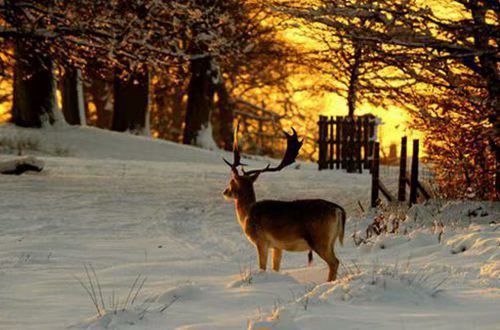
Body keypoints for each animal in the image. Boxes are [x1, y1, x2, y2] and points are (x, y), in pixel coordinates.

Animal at [224, 124, 346, 282]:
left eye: (232, 182)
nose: (225, 192)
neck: (247, 214)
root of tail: (338, 210)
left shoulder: (261, 240)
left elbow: (262, 266)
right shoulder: (277, 246)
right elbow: (276, 267)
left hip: (320, 239)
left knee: (334, 262)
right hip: (331, 240)